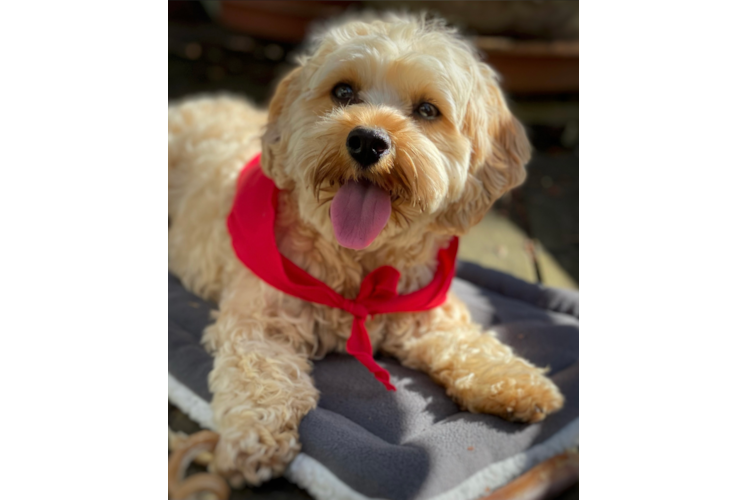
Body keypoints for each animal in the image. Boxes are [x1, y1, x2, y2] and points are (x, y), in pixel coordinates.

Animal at [167, 13, 564, 484]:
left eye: (427, 109)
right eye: (343, 91)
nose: (367, 141)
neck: (359, 262)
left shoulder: (428, 315)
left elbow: (471, 343)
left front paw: (516, 379)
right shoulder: (258, 322)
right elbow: (259, 375)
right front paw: (252, 438)